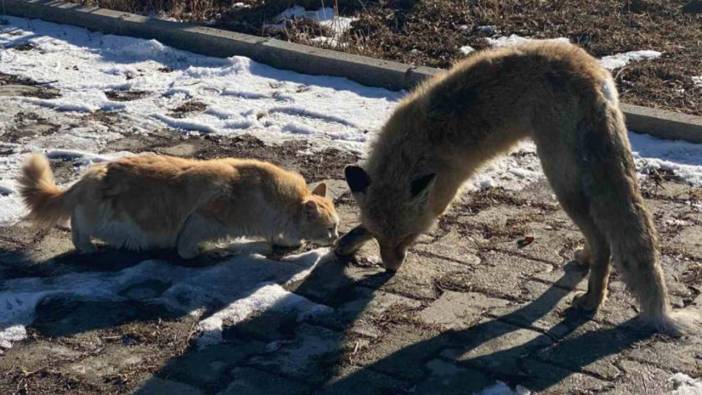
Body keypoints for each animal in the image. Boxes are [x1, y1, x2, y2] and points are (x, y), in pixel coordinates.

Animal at [18, 153, 340, 258]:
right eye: (330, 228)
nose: (337, 238)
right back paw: (88, 247)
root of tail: (88, 176)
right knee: (78, 227)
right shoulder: (201, 218)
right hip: (107, 220)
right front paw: (207, 252)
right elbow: (187, 248)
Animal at [340, 41, 692, 338]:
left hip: (560, 180)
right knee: (601, 235)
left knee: (604, 239)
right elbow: (359, 226)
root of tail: (594, 73)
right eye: (383, 239)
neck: (413, 148)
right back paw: (585, 260)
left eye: (409, 238)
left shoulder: (443, 192)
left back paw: (593, 299)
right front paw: (347, 243)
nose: (390, 268)